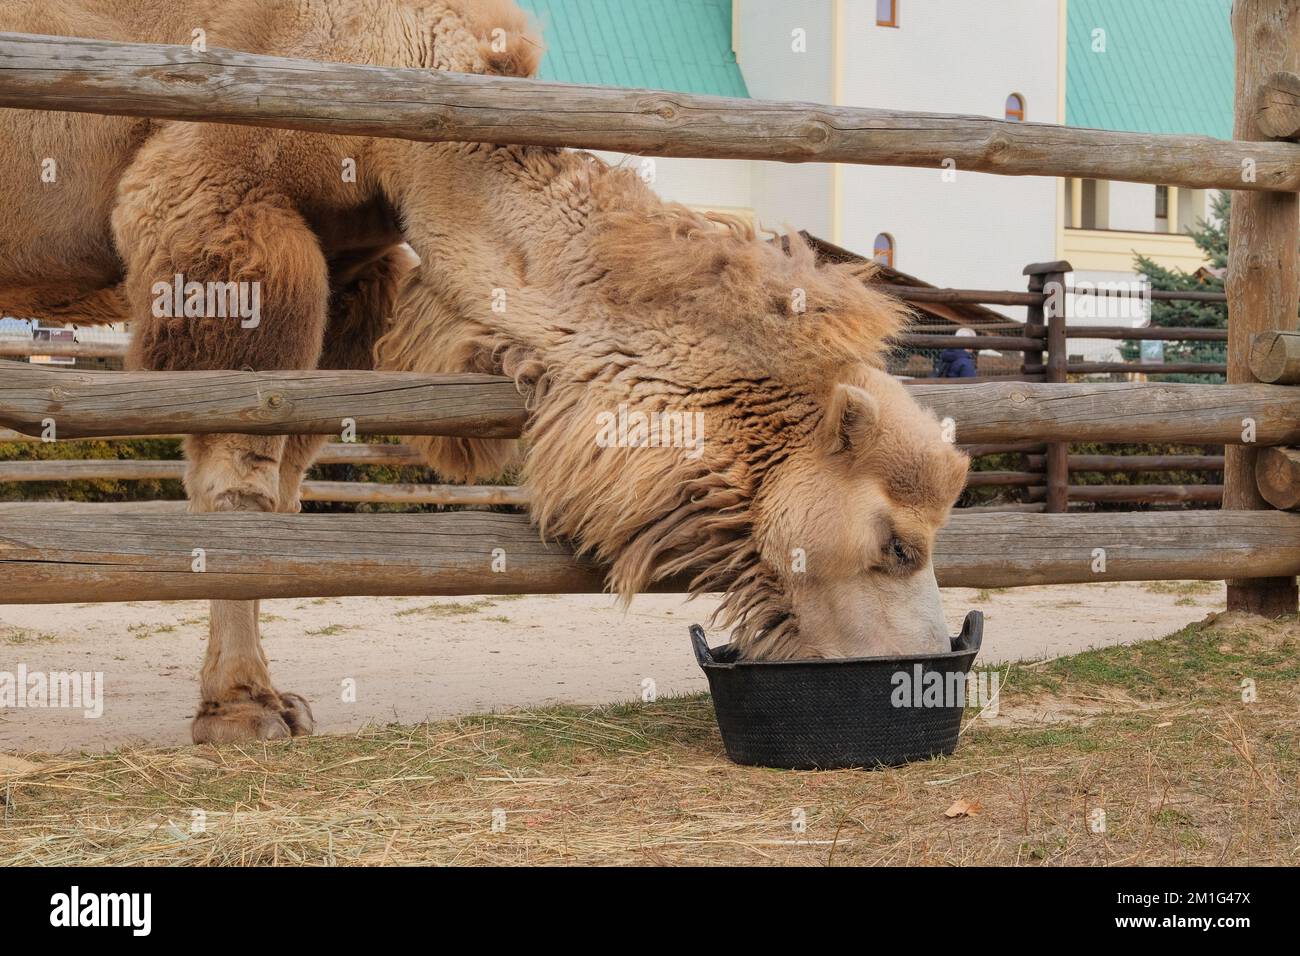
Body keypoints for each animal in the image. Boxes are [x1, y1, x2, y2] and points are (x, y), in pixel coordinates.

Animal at [0, 0, 967, 743]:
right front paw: (239, 711)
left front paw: (271, 696)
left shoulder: (352, 268)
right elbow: (234, 479)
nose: (928, 669)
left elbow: (282, 481)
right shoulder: (221, 211)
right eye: (897, 543)